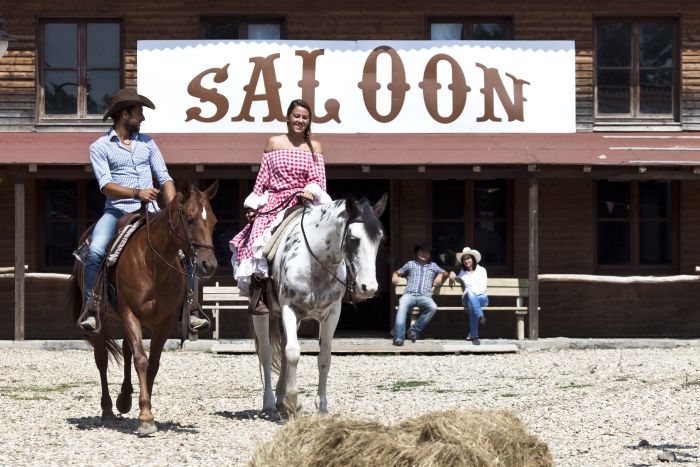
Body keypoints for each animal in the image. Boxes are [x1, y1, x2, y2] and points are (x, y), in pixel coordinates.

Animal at [66, 180, 219, 436]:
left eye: (214, 221)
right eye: (190, 219)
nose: (209, 265)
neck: (153, 265)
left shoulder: (165, 322)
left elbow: (152, 364)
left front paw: (143, 408)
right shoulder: (130, 314)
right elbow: (141, 359)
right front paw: (146, 417)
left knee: (126, 349)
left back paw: (124, 399)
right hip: (98, 322)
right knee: (102, 359)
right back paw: (107, 410)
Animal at [253, 192, 388, 418]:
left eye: (379, 239)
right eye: (354, 239)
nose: (368, 288)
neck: (314, 262)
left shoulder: (331, 314)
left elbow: (324, 358)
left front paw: (321, 406)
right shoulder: (290, 310)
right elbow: (293, 353)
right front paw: (295, 403)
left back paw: (281, 400)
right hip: (262, 313)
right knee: (266, 352)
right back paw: (270, 403)